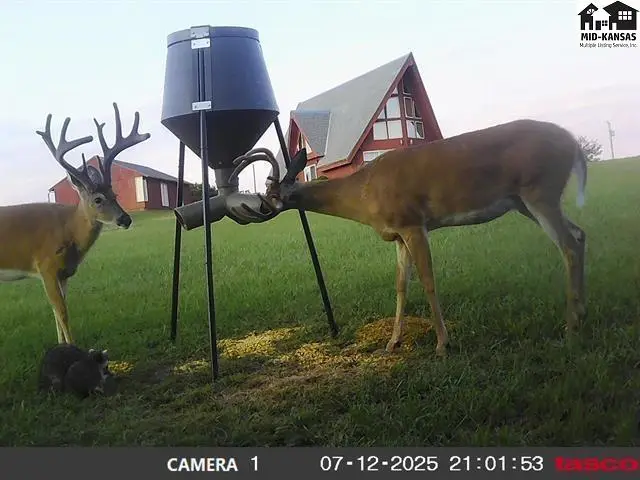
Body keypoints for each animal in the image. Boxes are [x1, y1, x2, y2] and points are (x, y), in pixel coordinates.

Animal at [0, 103, 150, 344]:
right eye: (98, 199)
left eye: (115, 194)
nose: (125, 219)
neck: (68, 228)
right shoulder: (46, 266)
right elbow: (62, 313)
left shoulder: (63, 274)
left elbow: (56, 314)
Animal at [225, 119, 588, 356]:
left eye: (271, 194)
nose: (256, 208)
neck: (363, 191)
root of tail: (574, 142)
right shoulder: (398, 234)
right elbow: (401, 285)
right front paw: (393, 342)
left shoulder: (414, 223)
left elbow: (428, 280)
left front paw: (442, 344)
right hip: (524, 201)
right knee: (580, 234)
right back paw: (580, 315)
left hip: (540, 190)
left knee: (569, 246)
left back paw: (571, 330)